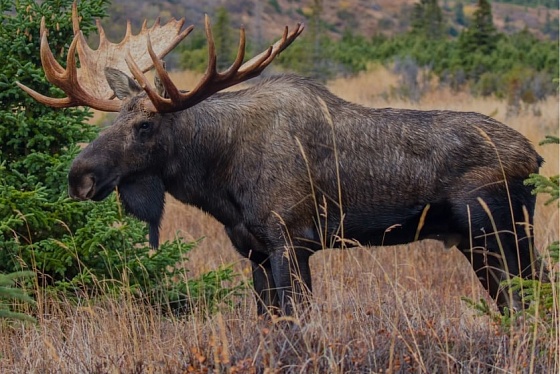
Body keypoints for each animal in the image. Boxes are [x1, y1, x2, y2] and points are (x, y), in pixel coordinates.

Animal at [17, 4, 544, 318]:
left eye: (145, 126)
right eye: (113, 118)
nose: (79, 177)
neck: (219, 178)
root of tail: (535, 158)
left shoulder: (292, 240)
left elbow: (295, 322)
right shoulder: (252, 249)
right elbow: (269, 321)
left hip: (500, 231)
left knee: (531, 297)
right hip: (477, 243)